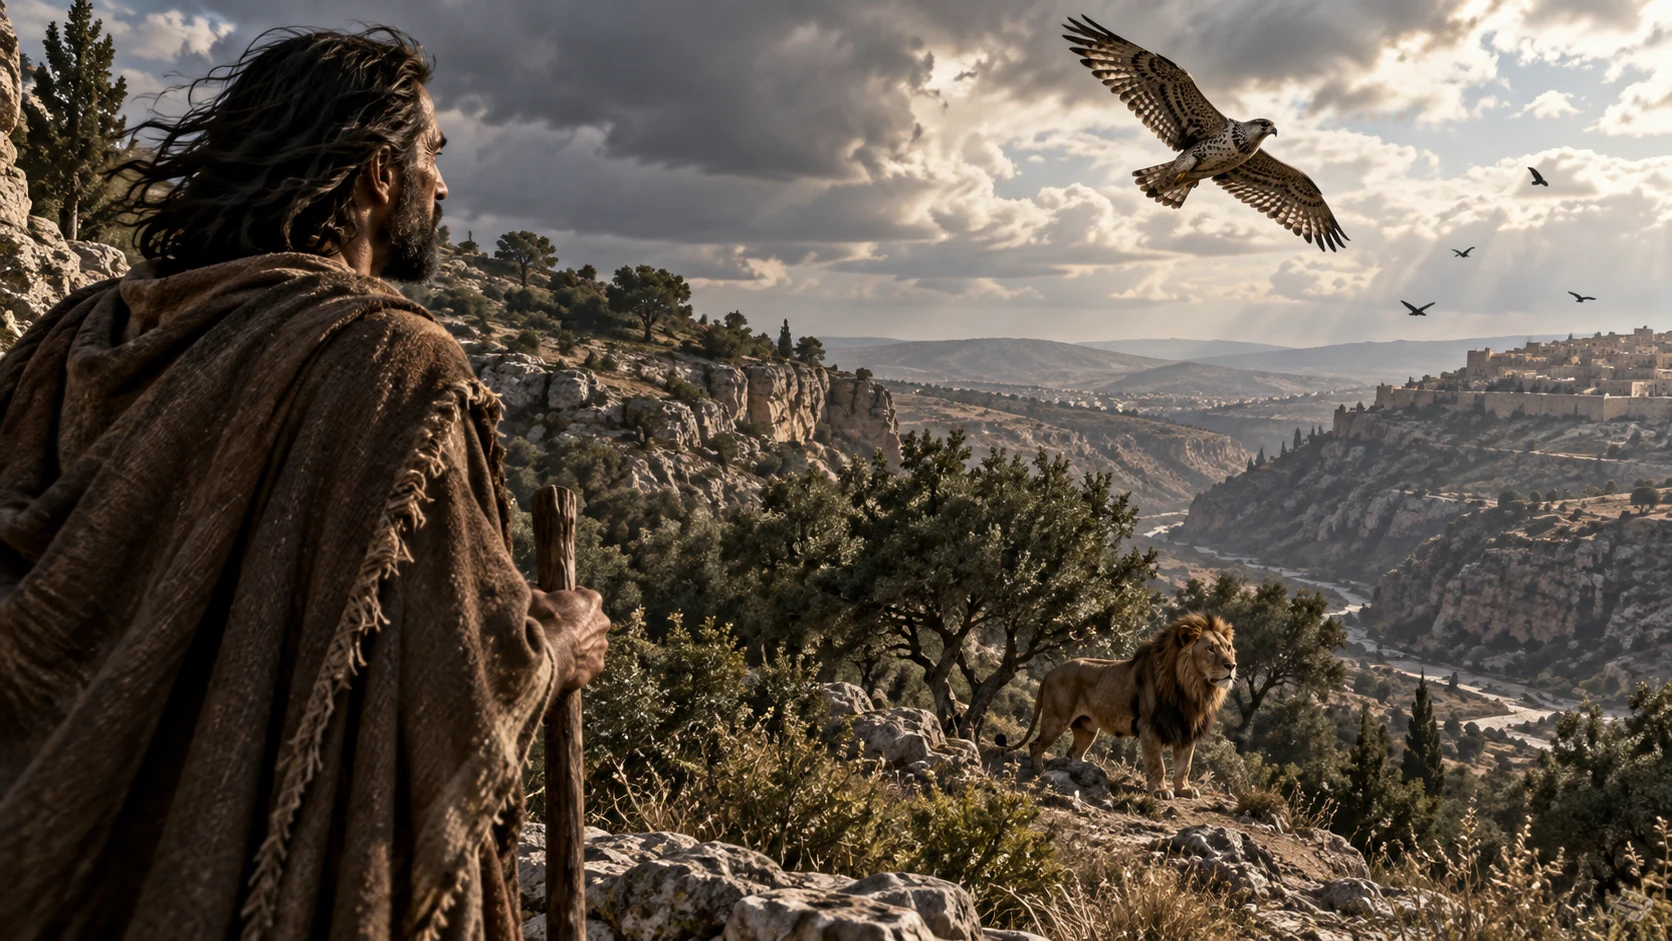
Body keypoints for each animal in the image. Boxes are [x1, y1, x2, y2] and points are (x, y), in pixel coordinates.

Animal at [1011, 612, 1236, 799]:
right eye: (1210, 648)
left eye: (1228, 648)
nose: (1232, 666)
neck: (1193, 689)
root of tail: (1052, 671)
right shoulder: (1149, 728)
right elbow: (1158, 765)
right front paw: (1161, 791)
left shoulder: (1187, 729)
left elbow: (1184, 766)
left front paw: (1184, 790)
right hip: (1057, 720)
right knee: (1035, 745)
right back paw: (1039, 771)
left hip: (1087, 728)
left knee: (1074, 753)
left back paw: (1081, 770)